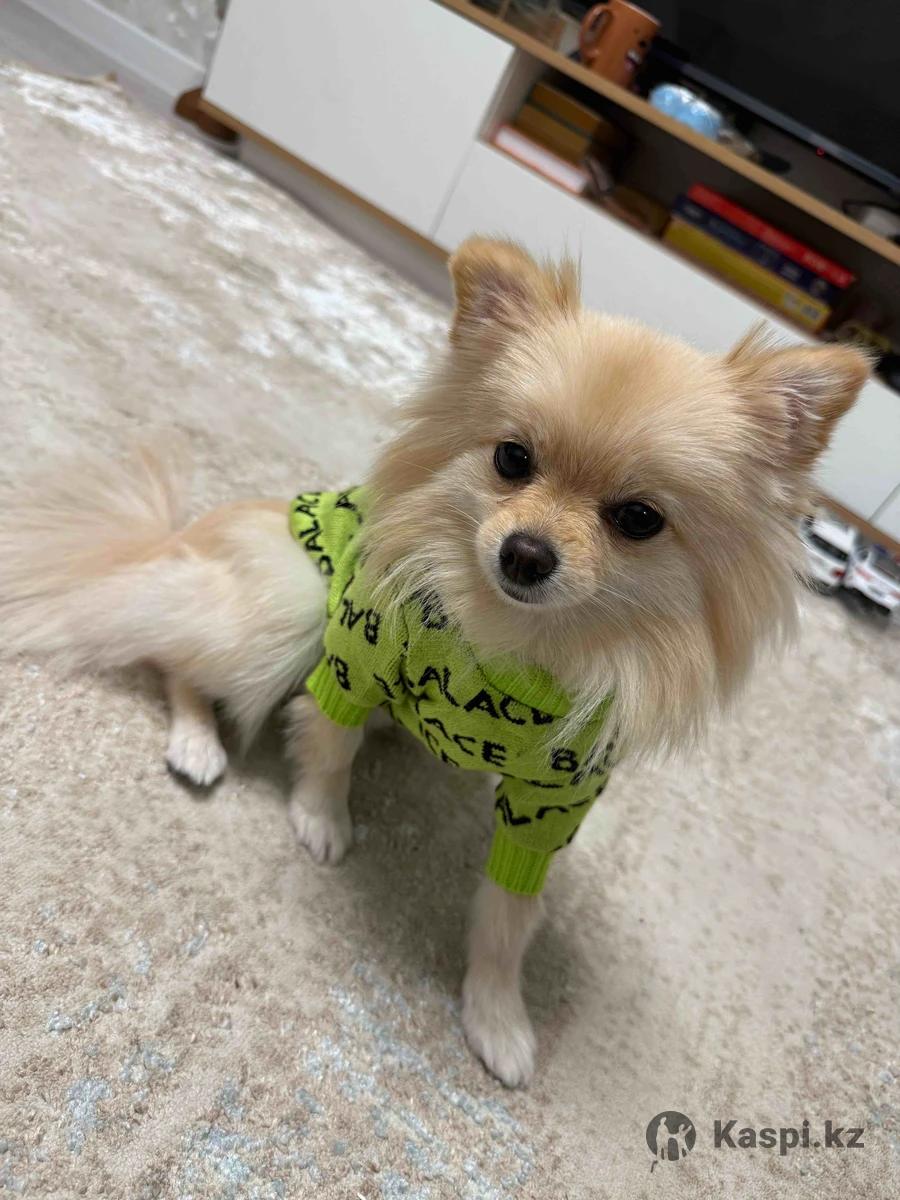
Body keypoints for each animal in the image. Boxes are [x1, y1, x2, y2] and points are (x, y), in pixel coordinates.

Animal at [0, 237, 869, 1086]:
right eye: (512, 459)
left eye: (638, 519)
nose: (525, 553)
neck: (515, 646)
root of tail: (183, 535)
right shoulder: (353, 659)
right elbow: (330, 744)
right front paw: (321, 818)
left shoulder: (552, 802)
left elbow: (508, 917)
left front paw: (497, 1016)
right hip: (287, 605)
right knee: (169, 647)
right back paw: (197, 741)